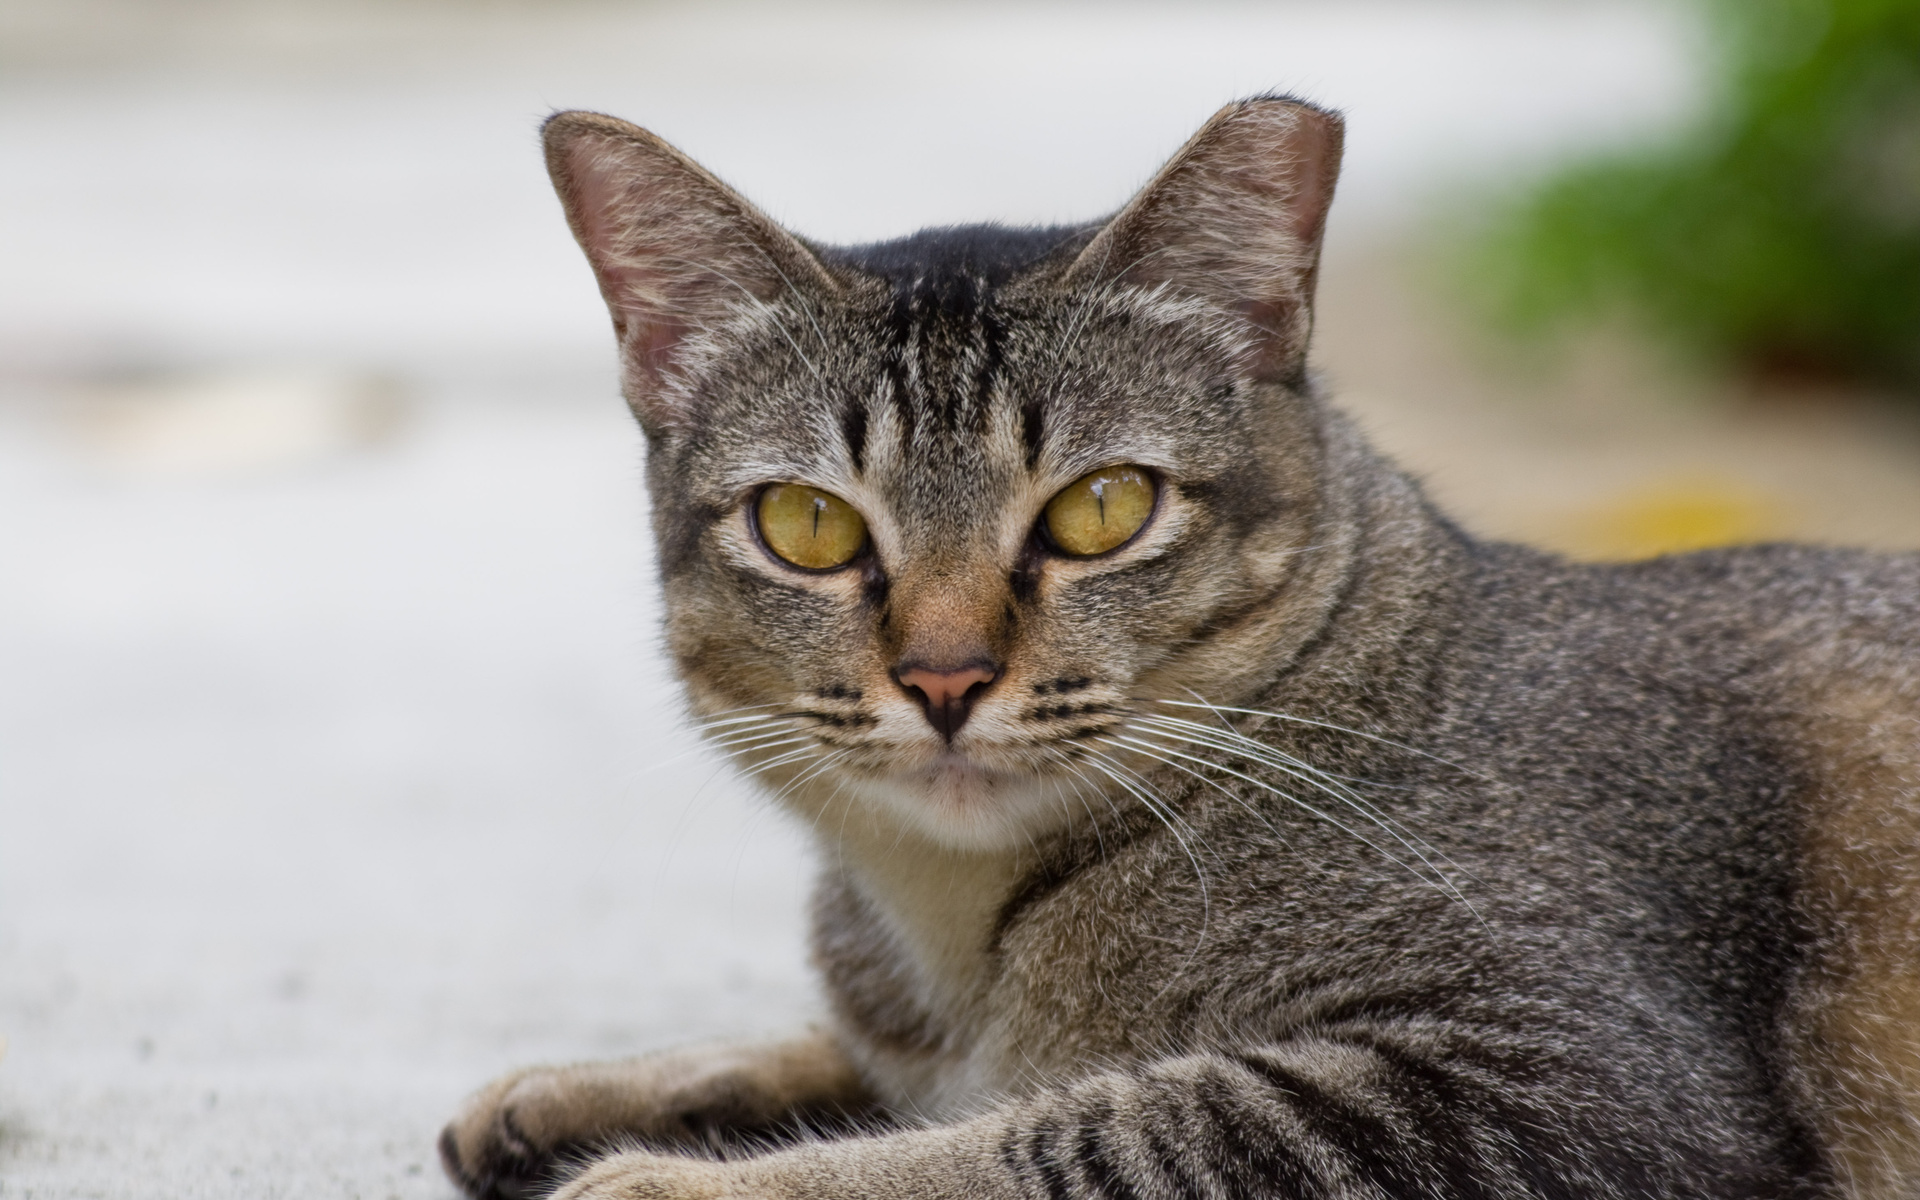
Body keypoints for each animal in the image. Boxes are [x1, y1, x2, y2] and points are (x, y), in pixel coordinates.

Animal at [435, 96, 1920, 1198]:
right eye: (808, 525)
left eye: (1103, 508)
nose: (944, 677)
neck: (959, 935)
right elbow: (871, 1069)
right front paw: (597, 1093)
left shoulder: (1558, 1077)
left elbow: (1050, 1134)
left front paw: (662, 1176)